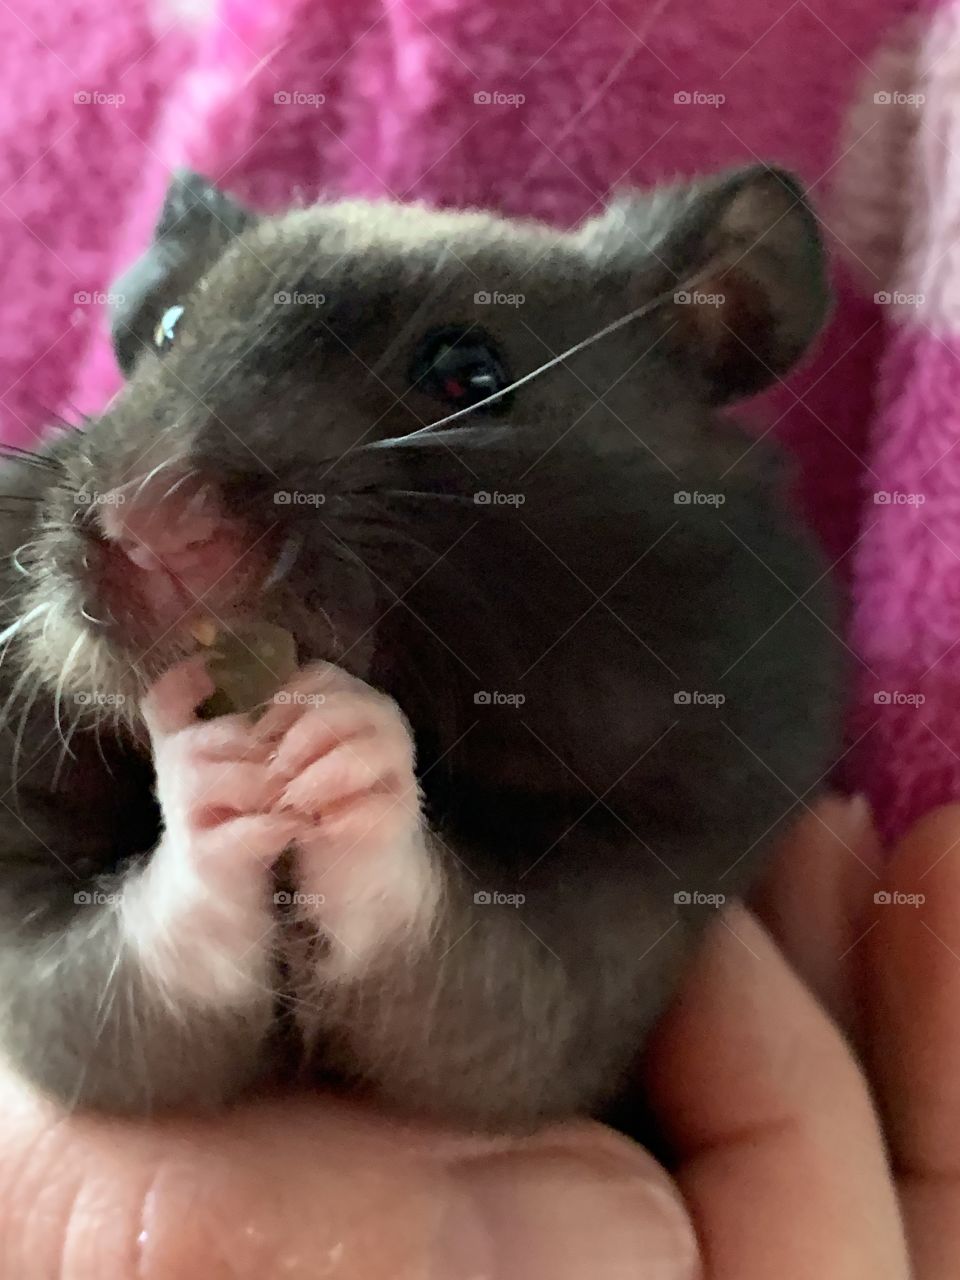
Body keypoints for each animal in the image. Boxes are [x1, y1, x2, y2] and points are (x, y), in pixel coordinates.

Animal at [0, 164, 841, 1129]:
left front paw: (333, 730)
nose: (150, 526)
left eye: (468, 374)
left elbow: (449, 964)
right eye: (170, 330)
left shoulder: (601, 943)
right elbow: (113, 987)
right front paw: (205, 748)